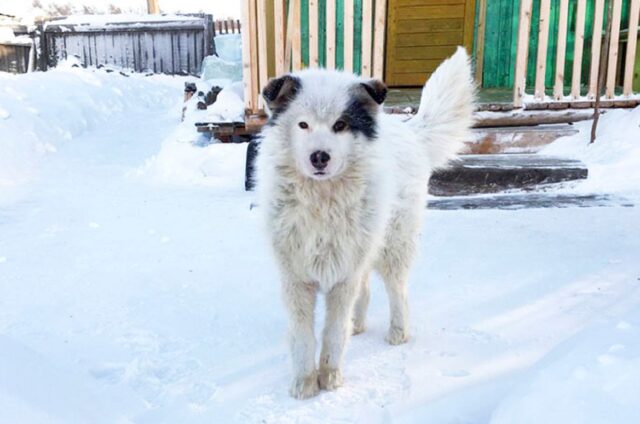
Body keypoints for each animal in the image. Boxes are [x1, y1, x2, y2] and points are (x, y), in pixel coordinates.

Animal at [255, 48, 476, 400]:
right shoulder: (297, 278)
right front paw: (304, 384)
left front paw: (330, 379)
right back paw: (357, 324)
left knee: (397, 290)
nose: (320, 156)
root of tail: (409, 129)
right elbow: (303, 337)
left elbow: (333, 333)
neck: (322, 201)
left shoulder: (342, 275)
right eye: (303, 125)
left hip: (392, 244)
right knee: (366, 288)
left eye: (340, 125)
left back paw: (398, 332)